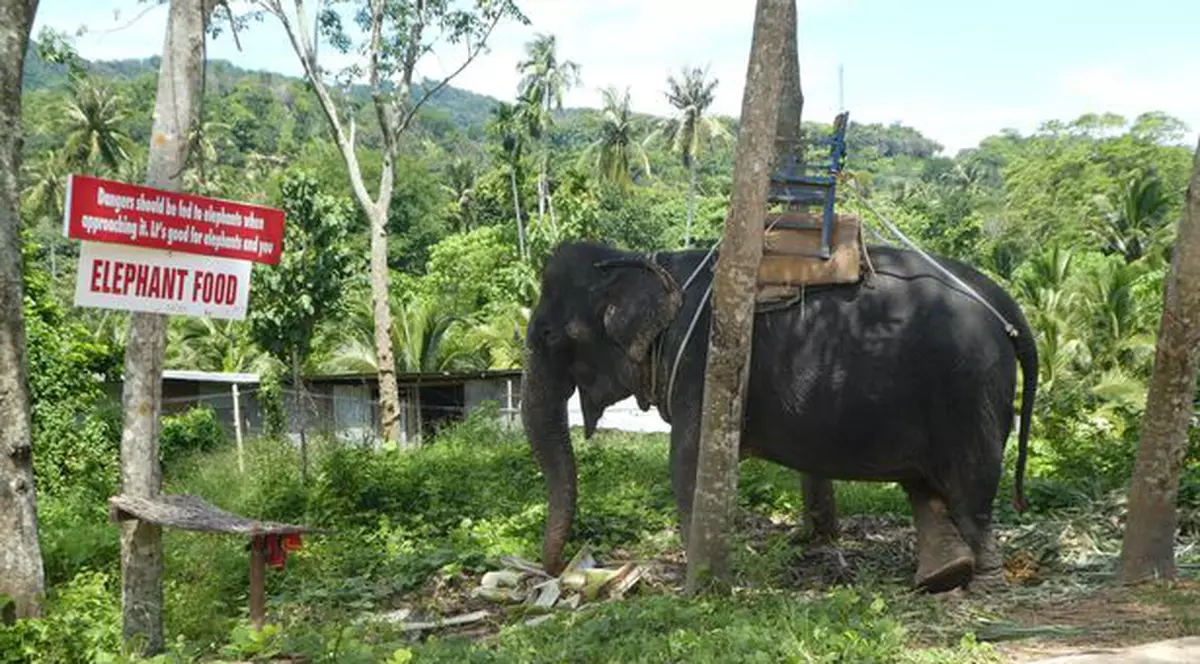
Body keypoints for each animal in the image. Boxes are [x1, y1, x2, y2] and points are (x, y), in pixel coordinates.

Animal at [520, 239, 1037, 592]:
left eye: (545, 334)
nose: (556, 571)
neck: (647, 261)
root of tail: (1007, 306)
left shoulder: (706, 369)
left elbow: (687, 464)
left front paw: (700, 582)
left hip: (968, 392)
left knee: (968, 491)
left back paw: (984, 581)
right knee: (925, 489)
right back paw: (942, 577)